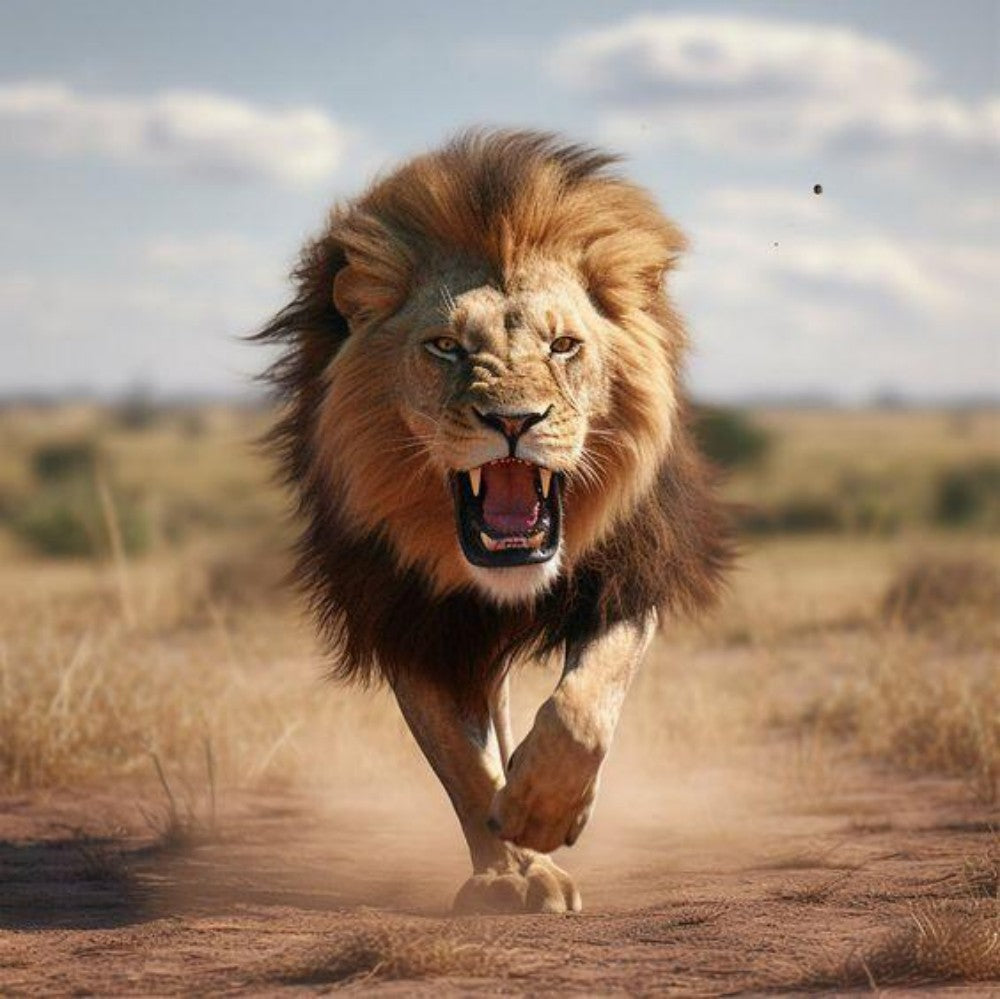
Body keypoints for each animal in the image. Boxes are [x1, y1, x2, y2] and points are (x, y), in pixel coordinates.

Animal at [257, 130, 732, 914]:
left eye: (563, 346)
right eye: (446, 346)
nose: (513, 420)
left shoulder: (626, 581)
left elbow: (582, 708)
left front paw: (543, 811)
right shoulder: (408, 619)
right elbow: (462, 764)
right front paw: (512, 871)